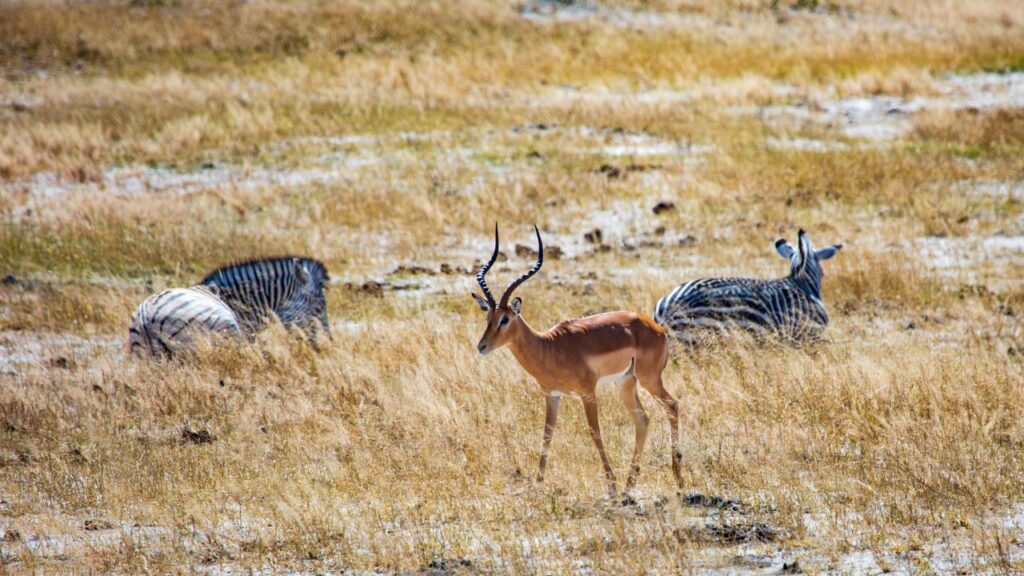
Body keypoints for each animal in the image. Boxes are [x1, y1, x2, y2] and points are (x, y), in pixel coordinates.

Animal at [472, 224, 682, 497]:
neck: (549, 347)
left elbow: (595, 431)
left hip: (649, 378)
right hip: (626, 382)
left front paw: (610, 484)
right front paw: (538, 482)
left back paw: (677, 480)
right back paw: (630, 485)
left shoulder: (587, 392)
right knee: (643, 419)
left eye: (504, 319)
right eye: (488, 317)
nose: (482, 346)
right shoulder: (552, 394)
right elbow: (547, 433)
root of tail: (656, 327)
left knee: (672, 405)